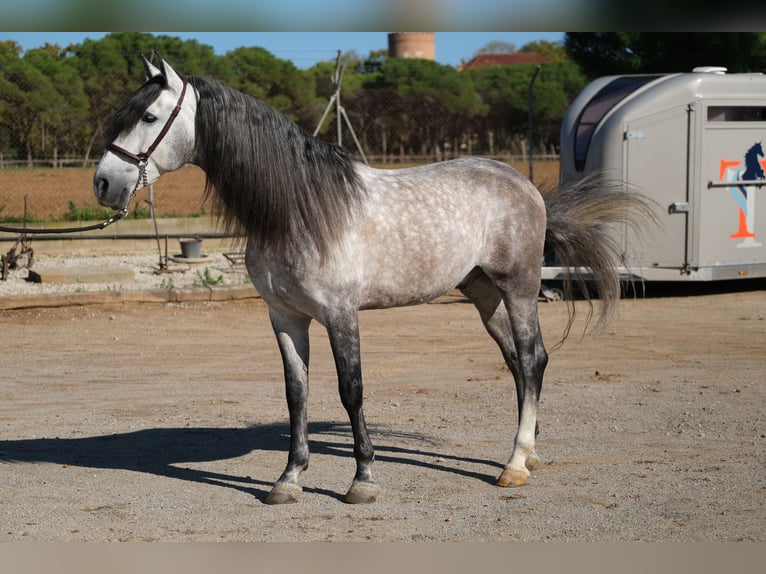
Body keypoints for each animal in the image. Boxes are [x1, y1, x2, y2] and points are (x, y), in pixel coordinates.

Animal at [91, 53, 656, 504]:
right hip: (483, 294)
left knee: (534, 359)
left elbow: (351, 389)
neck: (300, 208)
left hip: (517, 288)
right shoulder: (286, 318)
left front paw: (361, 480)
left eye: (149, 116)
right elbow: (296, 394)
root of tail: (523, 183)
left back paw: (514, 466)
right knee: (520, 363)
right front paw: (288, 480)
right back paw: (529, 454)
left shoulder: (341, 315)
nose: (103, 183)